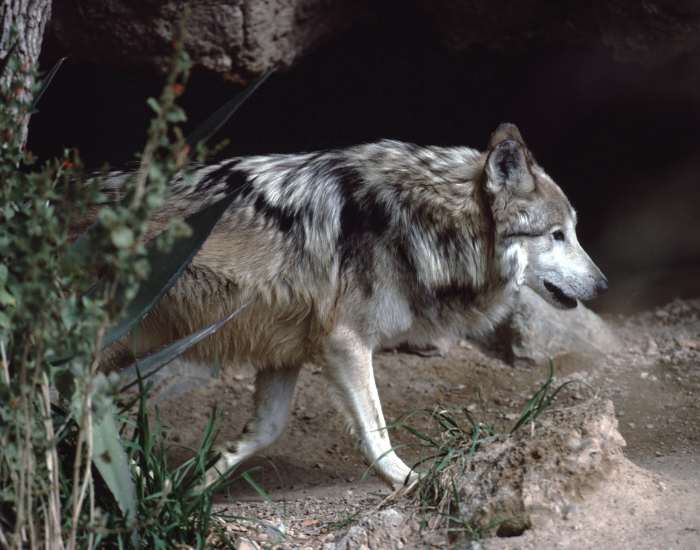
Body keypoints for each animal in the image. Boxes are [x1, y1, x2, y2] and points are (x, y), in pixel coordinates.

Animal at [92, 123, 608, 488]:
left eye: (573, 231)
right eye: (557, 235)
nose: (603, 286)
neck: (420, 222)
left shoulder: (286, 352)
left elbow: (263, 431)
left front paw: (190, 485)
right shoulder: (345, 343)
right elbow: (376, 436)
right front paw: (415, 484)